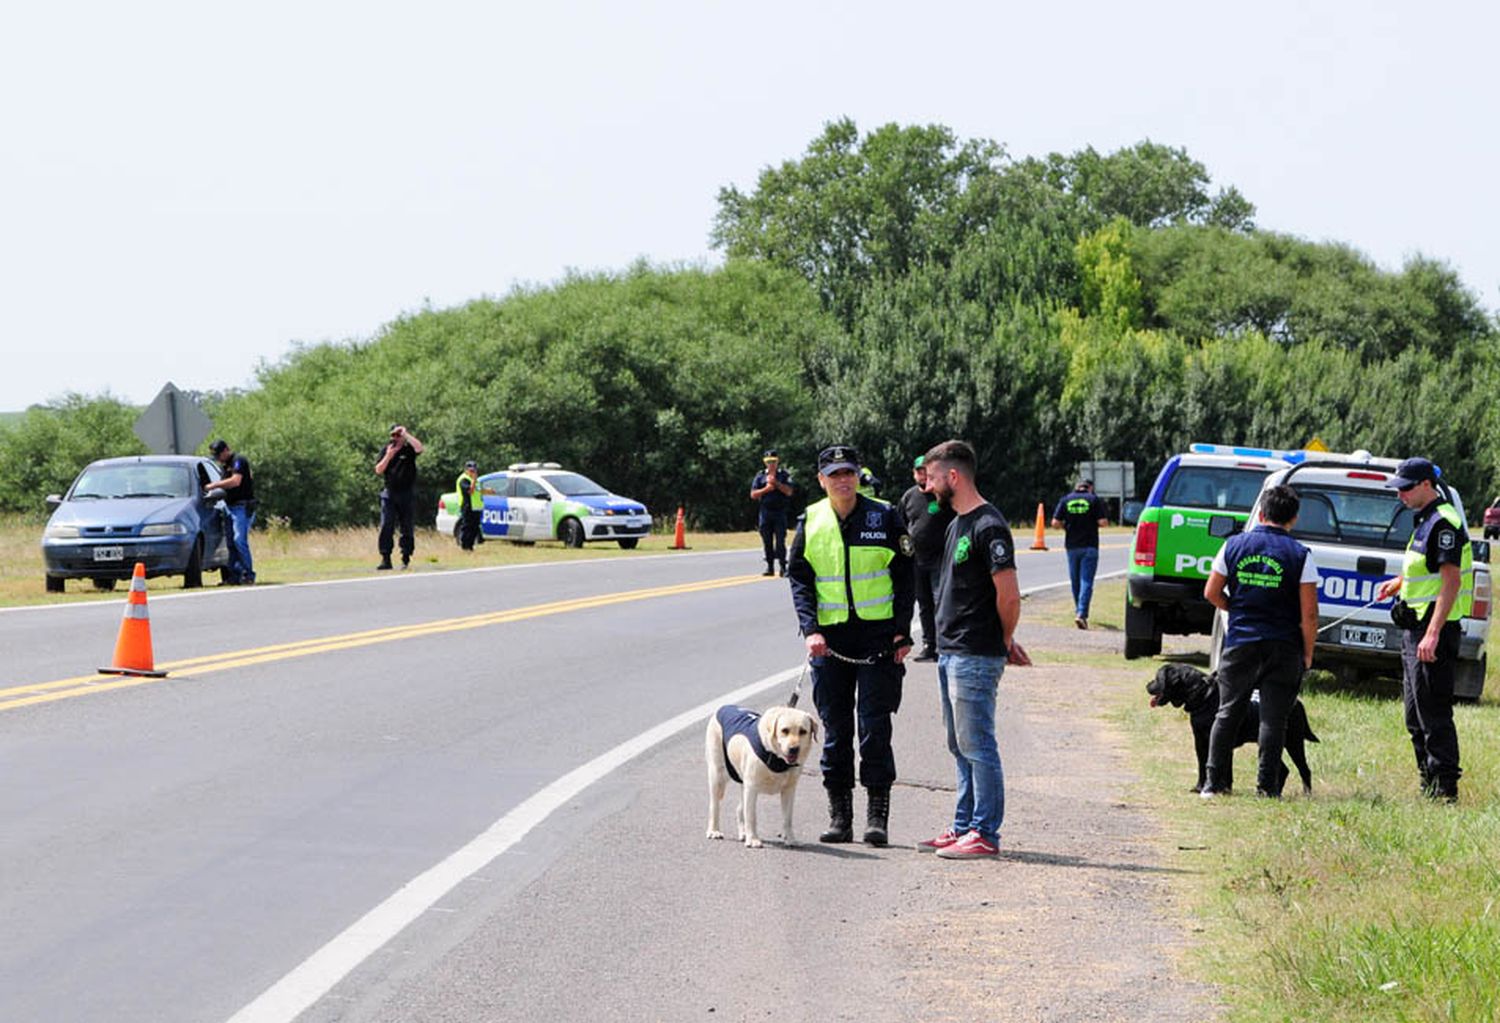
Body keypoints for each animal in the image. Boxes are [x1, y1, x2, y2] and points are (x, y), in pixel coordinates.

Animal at [705, 702, 822, 846]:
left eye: (803, 731)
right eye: (785, 730)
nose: (794, 749)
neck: (777, 758)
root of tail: (725, 706)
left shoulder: (789, 790)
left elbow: (787, 818)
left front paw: (790, 838)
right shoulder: (751, 788)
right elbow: (751, 816)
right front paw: (753, 839)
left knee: (739, 809)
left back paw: (743, 833)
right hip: (718, 775)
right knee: (714, 806)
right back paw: (714, 831)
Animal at [1140, 657, 1320, 792]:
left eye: (1157, 678)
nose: (1147, 685)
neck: (1203, 696)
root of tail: (1298, 702)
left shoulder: (1213, 740)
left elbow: (1215, 765)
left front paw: (1215, 788)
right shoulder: (1201, 741)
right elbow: (1211, 766)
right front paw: (1210, 788)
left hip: (1293, 742)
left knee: (1304, 769)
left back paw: (1306, 795)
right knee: (1283, 769)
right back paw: (1275, 793)